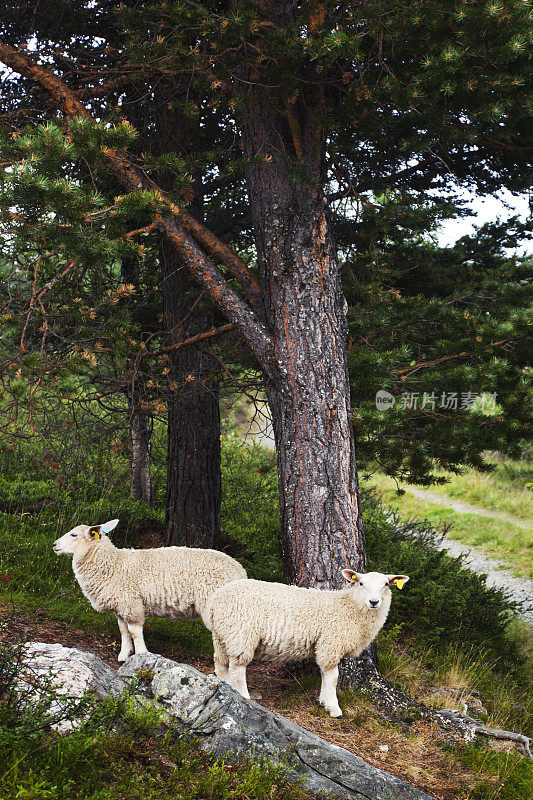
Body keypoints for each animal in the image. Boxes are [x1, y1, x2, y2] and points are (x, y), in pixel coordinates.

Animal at [52, 520, 247, 664]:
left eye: (74, 535)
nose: (54, 545)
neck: (113, 564)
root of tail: (240, 571)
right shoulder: (120, 606)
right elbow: (123, 631)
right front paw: (124, 655)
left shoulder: (131, 604)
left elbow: (134, 632)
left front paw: (141, 654)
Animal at [204, 568, 408, 720]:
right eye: (361, 583)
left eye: (386, 584)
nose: (374, 602)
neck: (350, 607)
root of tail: (215, 600)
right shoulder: (330, 643)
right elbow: (332, 678)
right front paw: (334, 708)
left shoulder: (327, 646)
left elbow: (325, 676)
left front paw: (324, 702)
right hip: (242, 633)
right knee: (238, 668)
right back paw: (244, 696)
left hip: (222, 635)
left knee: (221, 663)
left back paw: (225, 686)